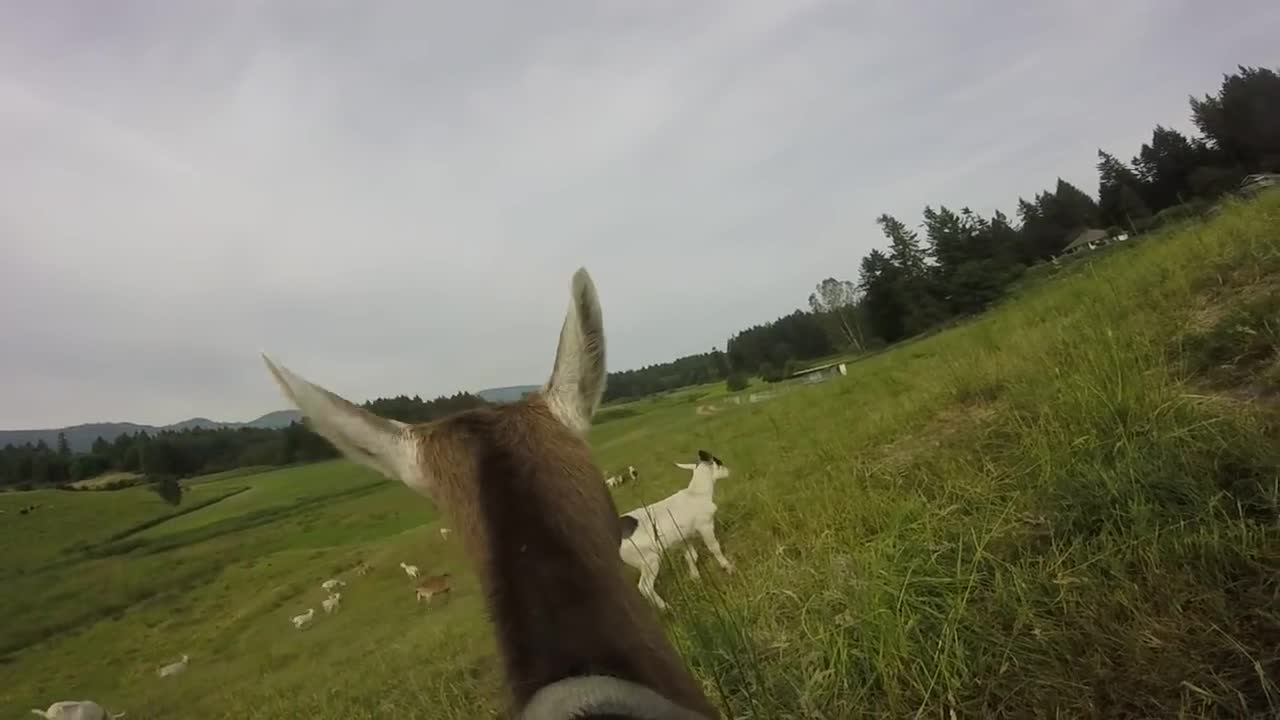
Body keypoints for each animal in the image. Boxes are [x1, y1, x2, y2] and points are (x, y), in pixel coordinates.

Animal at [616, 450, 732, 607]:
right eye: (719, 462)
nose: (729, 471)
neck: (697, 494)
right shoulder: (705, 526)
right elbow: (715, 548)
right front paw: (728, 567)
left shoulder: (684, 537)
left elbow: (691, 556)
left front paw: (695, 578)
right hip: (649, 560)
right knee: (644, 587)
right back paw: (665, 607)